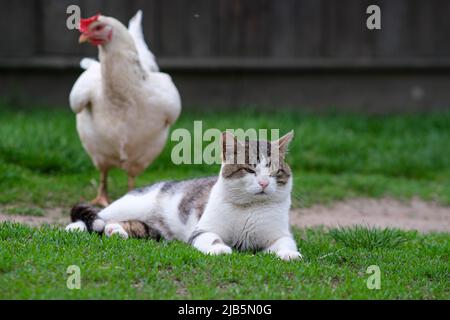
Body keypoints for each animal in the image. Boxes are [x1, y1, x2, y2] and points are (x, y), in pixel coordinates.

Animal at [67, 131, 302, 262]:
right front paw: (219, 248)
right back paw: (75, 228)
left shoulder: (280, 235)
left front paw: (289, 255)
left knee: (126, 226)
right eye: (250, 170)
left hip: (153, 230)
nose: (263, 183)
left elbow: (286, 244)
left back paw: (116, 231)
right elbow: (212, 239)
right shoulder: (202, 231)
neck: (250, 209)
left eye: (273, 171)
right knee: (98, 216)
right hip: (127, 205)